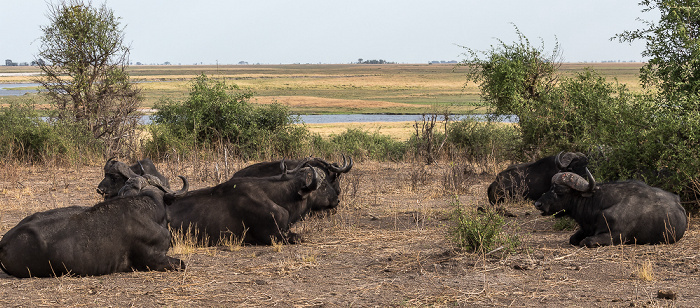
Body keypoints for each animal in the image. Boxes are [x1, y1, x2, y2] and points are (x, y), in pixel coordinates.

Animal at [532, 170, 688, 247]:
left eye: (560, 191)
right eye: (550, 187)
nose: (538, 204)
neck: (598, 205)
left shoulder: (616, 236)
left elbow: (586, 241)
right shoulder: (586, 229)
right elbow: (573, 239)